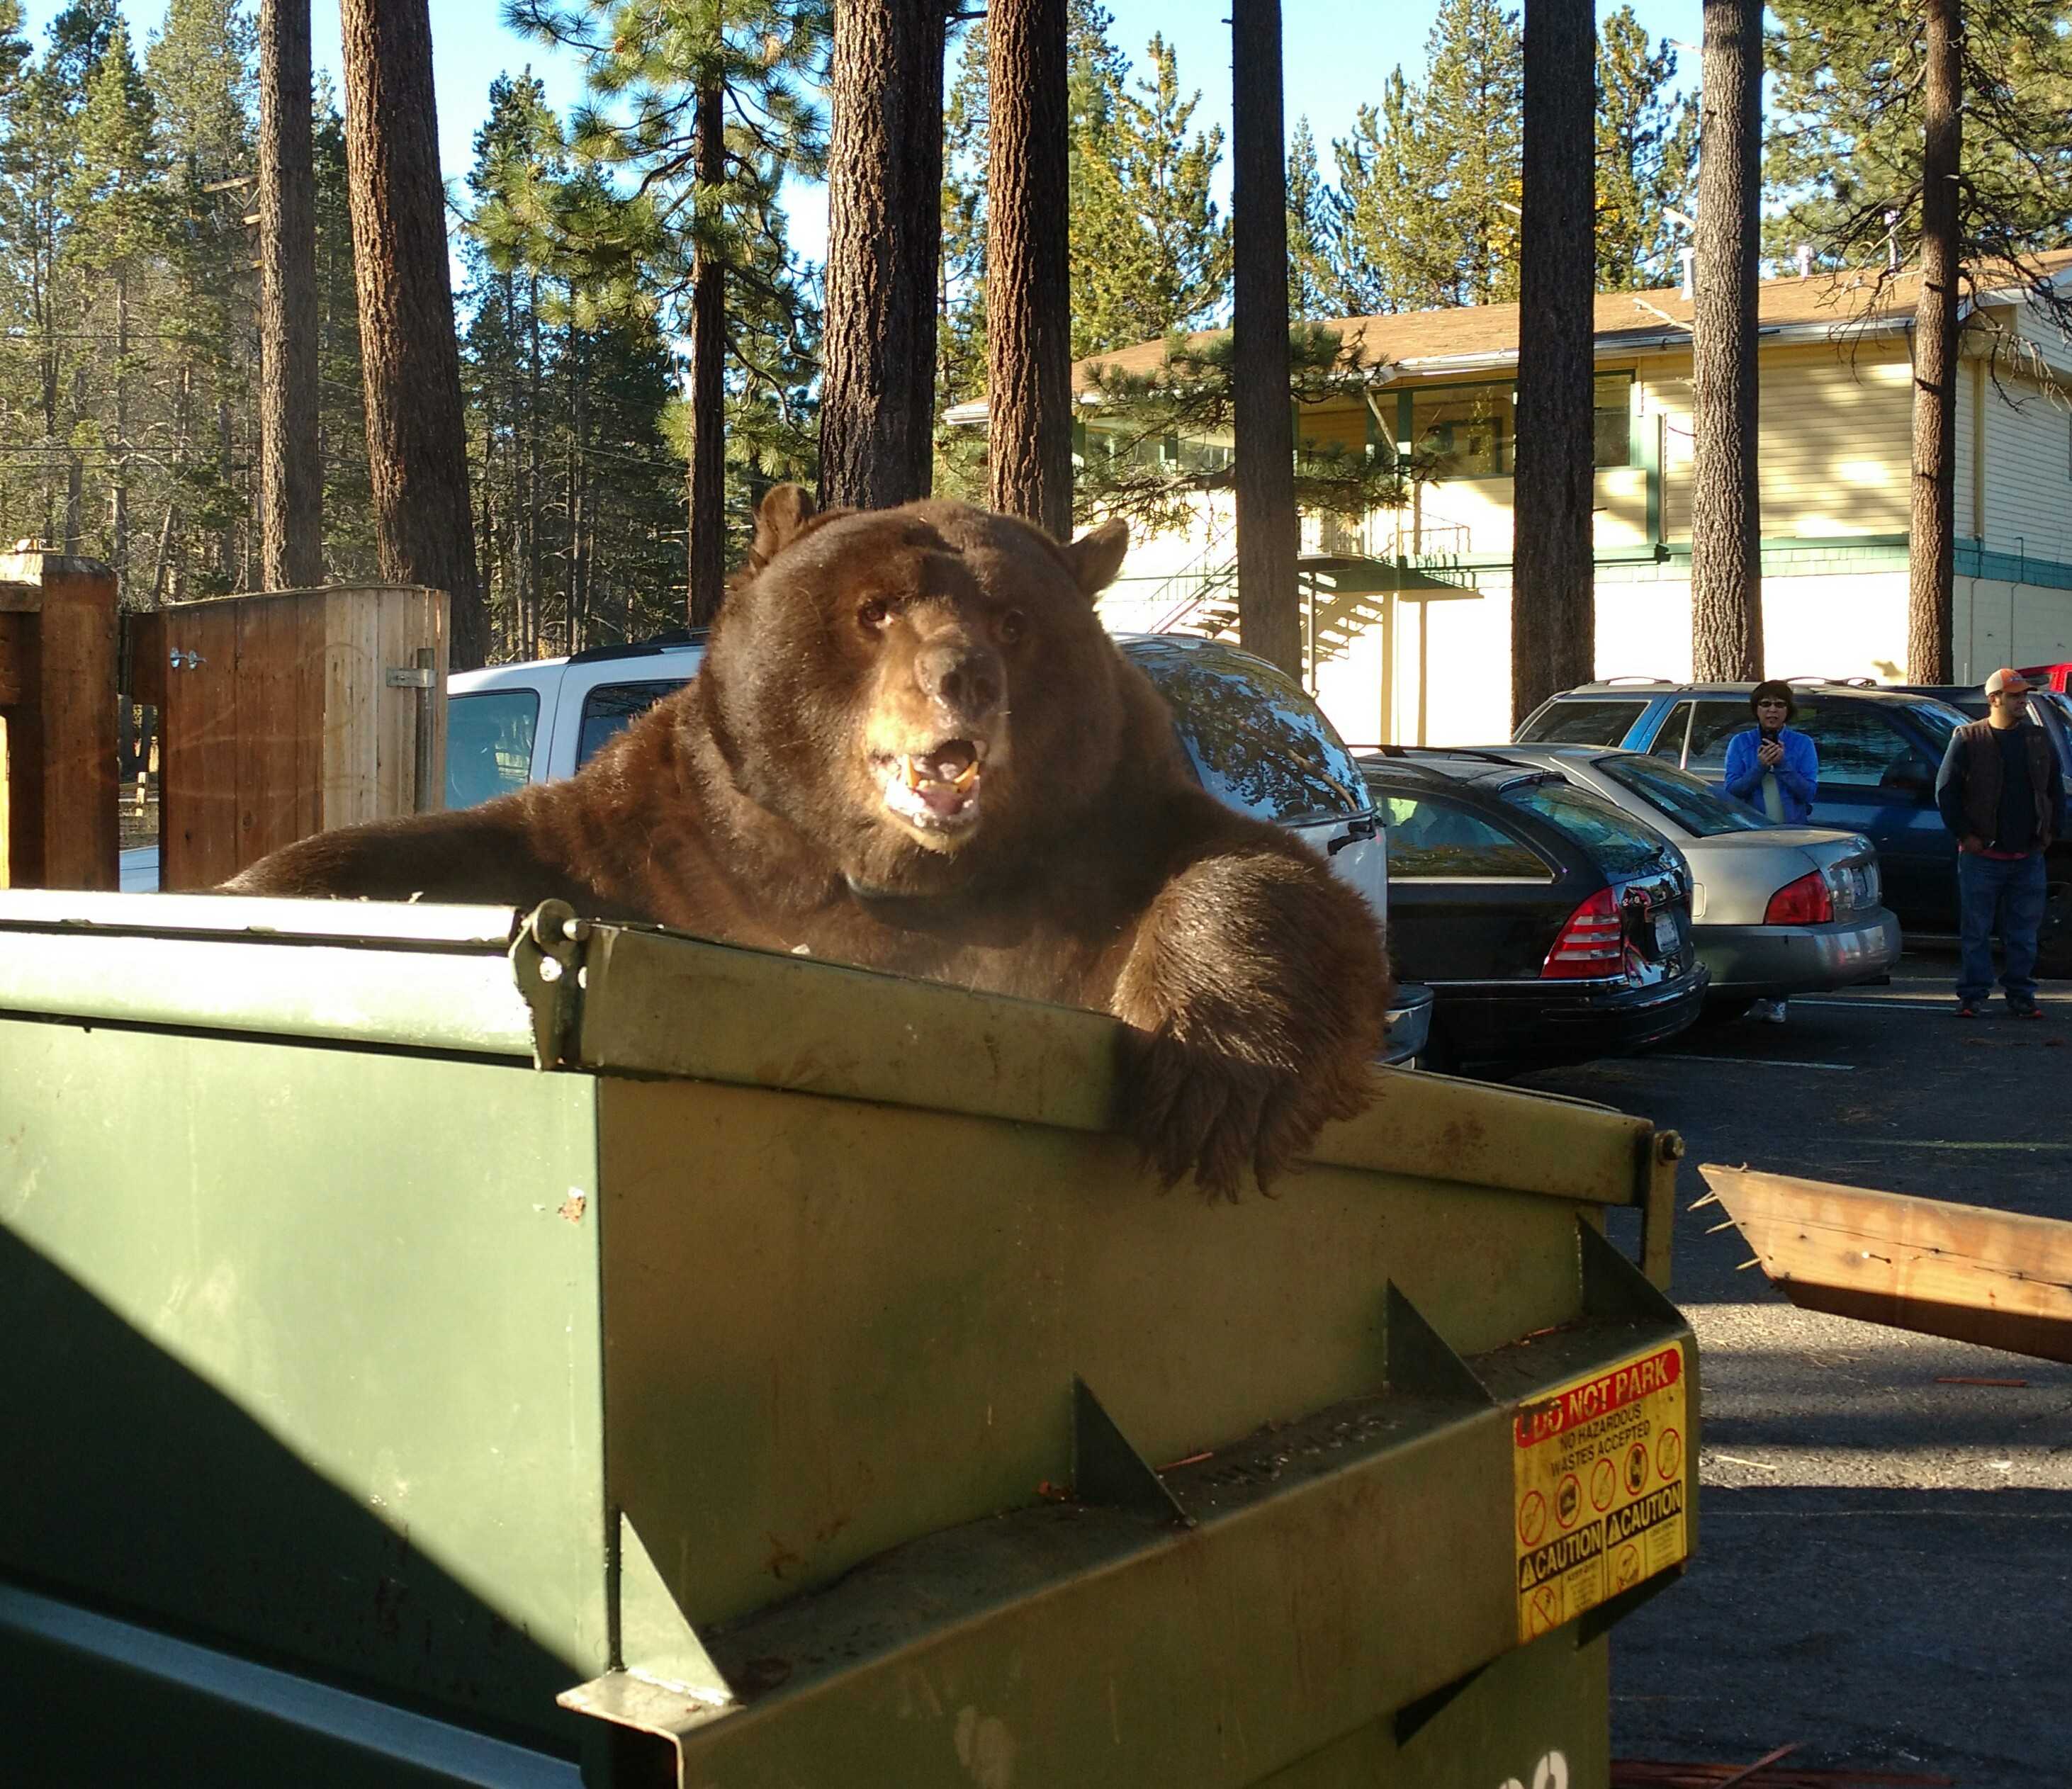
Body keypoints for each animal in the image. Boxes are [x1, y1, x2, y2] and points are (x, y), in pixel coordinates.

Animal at [231, 482, 1392, 1192]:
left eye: (1015, 621)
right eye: (875, 610)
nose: (962, 676)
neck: (890, 878)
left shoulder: (1094, 844)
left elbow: (1267, 879)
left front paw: (1210, 1080)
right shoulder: (673, 842)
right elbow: (470, 845)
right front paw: (273, 892)